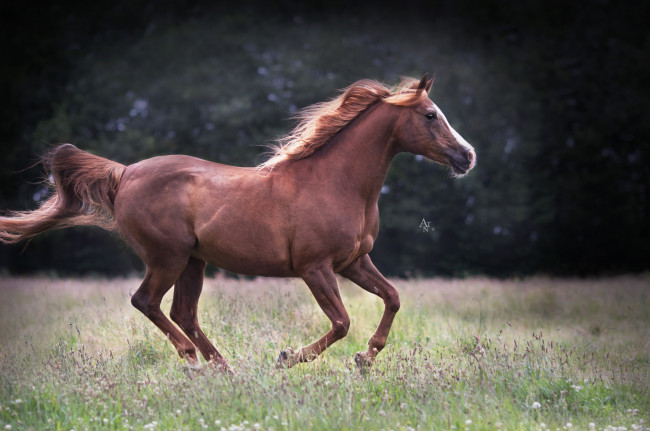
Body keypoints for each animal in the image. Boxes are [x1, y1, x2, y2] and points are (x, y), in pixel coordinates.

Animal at [1, 74, 476, 372]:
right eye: (430, 115)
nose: (467, 156)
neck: (337, 182)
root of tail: (125, 173)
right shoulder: (315, 268)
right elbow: (341, 322)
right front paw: (287, 358)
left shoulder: (354, 262)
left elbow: (392, 298)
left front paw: (364, 359)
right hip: (167, 258)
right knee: (147, 302)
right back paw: (194, 360)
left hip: (193, 262)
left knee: (183, 311)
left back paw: (223, 368)